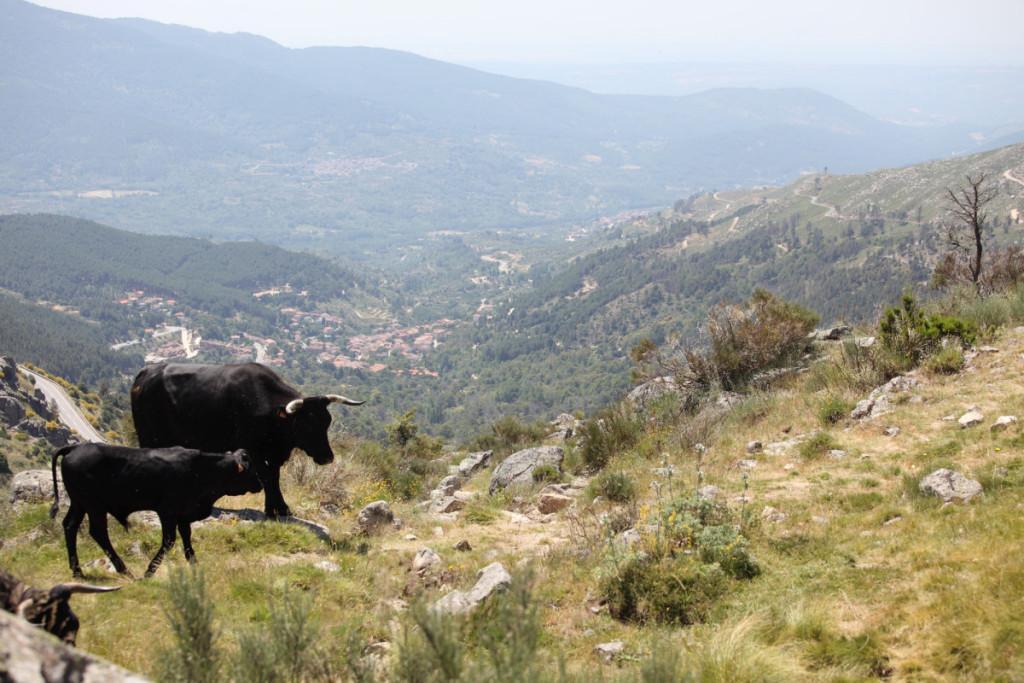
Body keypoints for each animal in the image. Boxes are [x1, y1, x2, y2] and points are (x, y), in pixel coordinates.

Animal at [50, 444, 262, 577]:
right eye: (251, 469)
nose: (260, 484)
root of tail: (75, 447)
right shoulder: (167, 510)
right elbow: (169, 541)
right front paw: (149, 572)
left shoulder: (183, 513)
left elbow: (186, 536)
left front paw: (193, 563)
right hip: (94, 505)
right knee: (98, 532)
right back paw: (125, 571)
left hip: (79, 503)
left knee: (69, 526)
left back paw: (77, 571)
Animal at [131, 362, 364, 518]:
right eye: (307, 424)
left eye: (327, 422)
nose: (327, 457)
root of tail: (147, 371)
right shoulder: (253, 450)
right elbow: (266, 478)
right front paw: (276, 510)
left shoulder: (274, 454)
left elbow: (274, 477)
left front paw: (275, 508)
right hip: (147, 435)